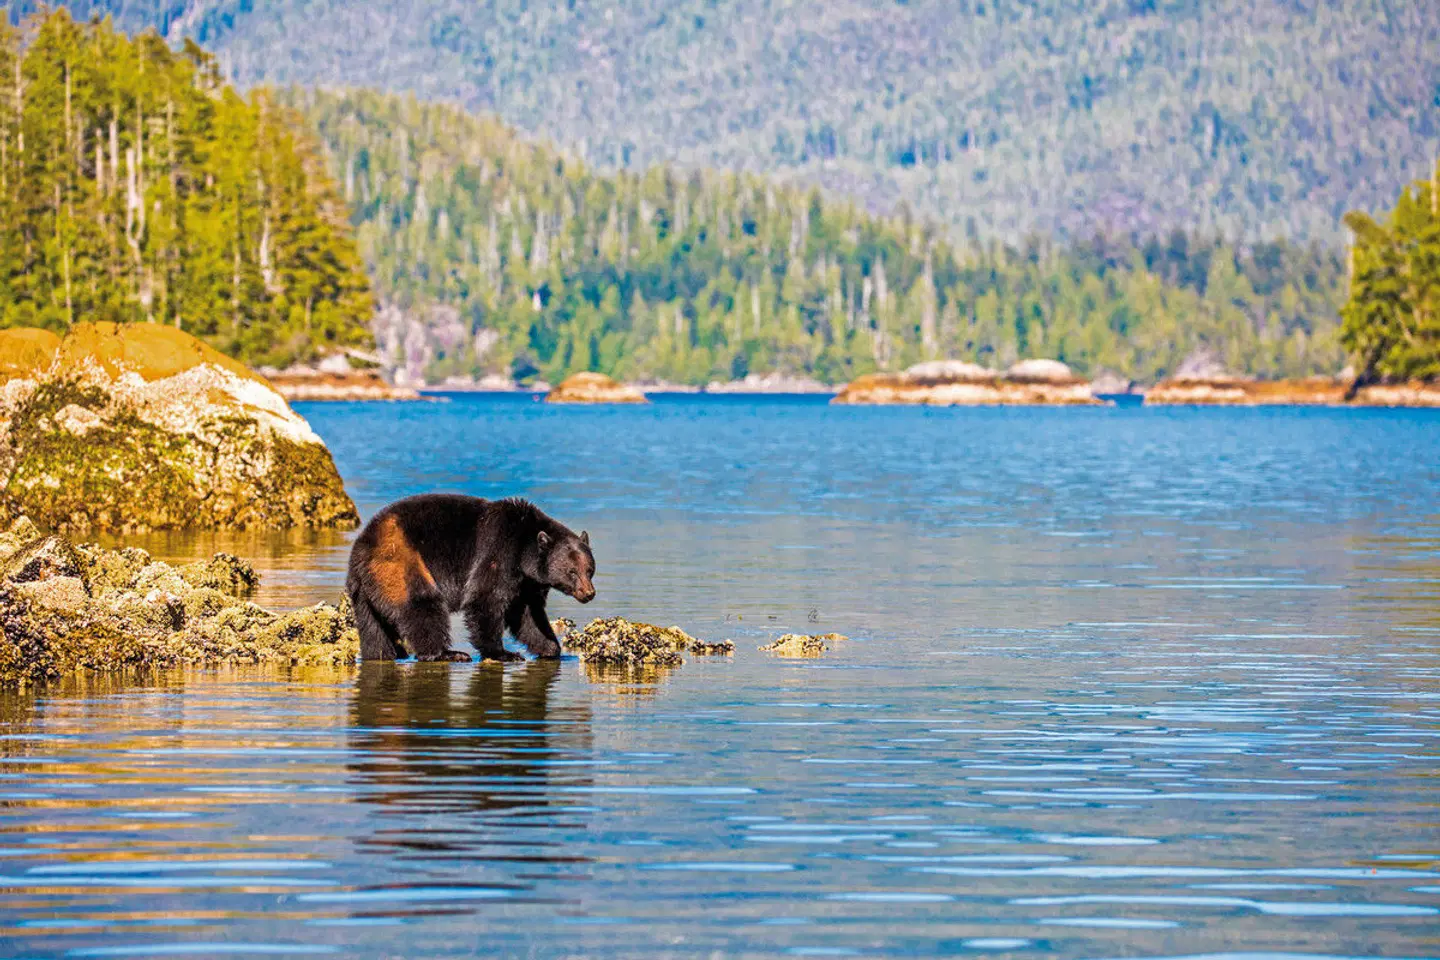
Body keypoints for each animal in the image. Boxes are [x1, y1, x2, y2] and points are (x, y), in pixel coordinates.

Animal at [345, 494, 595, 662]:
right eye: (572, 571)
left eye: (590, 569)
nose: (589, 593)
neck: (524, 547)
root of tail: (361, 548)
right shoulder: (499, 550)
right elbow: (485, 598)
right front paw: (504, 653)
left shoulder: (527, 582)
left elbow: (527, 614)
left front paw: (550, 648)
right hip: (400, 560)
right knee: (422, 603)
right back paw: (447, 653)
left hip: (365, 592)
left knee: (373, 630)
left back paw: (384, 653)